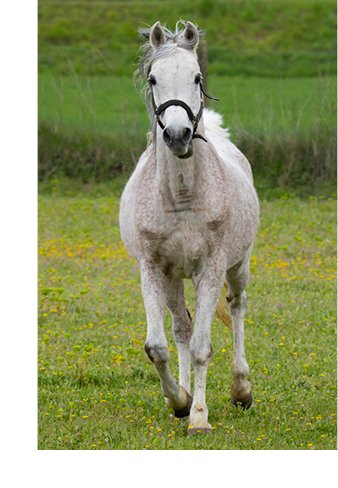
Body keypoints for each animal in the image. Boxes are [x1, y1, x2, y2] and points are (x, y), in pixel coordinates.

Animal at [119, 21, 258, 434]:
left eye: (197, 77)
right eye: (153, 78)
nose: (178, 135)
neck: (181, 196)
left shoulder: (209, 270)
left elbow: (201, 347)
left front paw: (198, 417)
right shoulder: (153, 269)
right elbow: (158, 345)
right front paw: (179, 401)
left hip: (238, 266)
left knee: (238, 306)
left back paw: (241, 390)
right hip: (173, 278)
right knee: (180, 328)